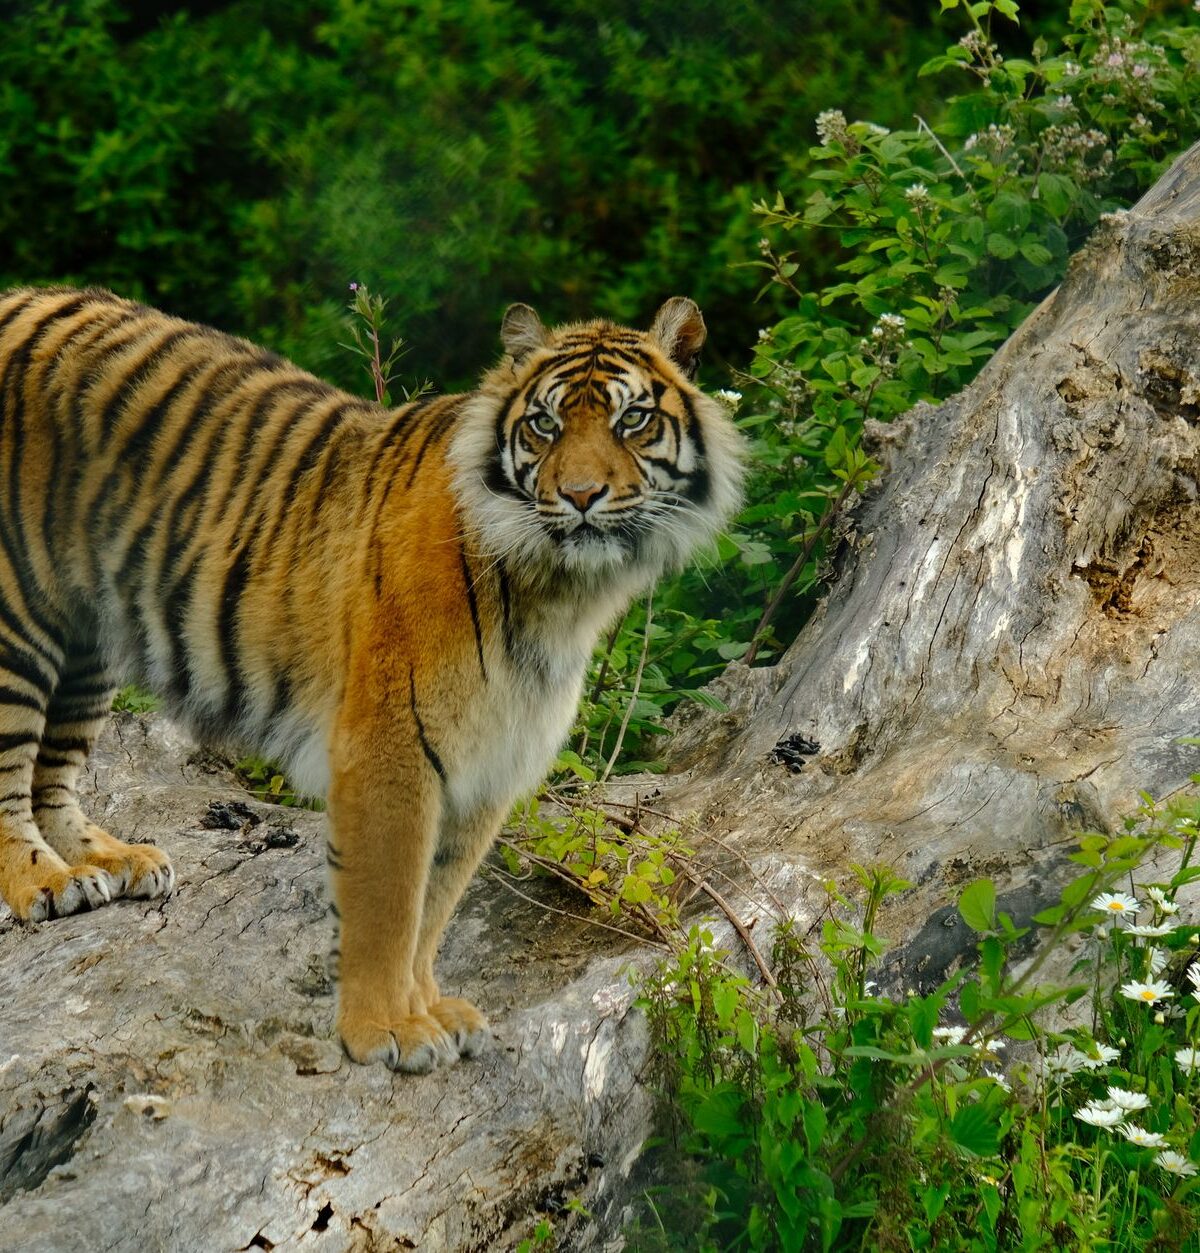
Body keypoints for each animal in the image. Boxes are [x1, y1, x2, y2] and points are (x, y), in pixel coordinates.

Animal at [0, 287, 742, 1071]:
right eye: (545, 424)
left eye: (633, 420)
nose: (580, 495)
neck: (562, 590)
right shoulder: (391, 745)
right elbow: (390, 900)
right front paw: (386, 1029)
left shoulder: (495, 757)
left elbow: (436, 902)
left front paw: (431, 1010)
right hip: (18, 618)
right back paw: (46, 881)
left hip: (89, 635)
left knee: (52, 773)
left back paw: (108, 863)